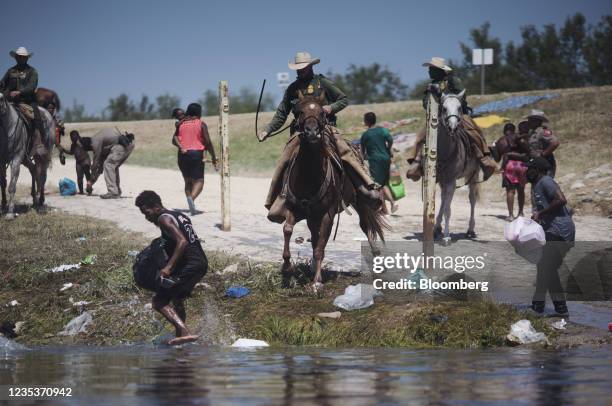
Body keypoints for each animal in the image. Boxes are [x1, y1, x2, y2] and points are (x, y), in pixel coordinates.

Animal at [280, 91, 384, 290]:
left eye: (322, 112)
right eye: (299, 111)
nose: (312, 132)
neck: (308, 177)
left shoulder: (328, 214)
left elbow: (321, 247)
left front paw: (317, 282)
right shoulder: (293, 207)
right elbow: (288, 229)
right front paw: (287, 268)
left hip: (360, 201)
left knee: (366, 225)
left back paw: (377, 257)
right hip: (312, 216)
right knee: (314, 235)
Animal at [432, 90, 480, 246]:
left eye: (459, 108)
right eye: (444, 108)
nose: (452, 127)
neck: (445, 151)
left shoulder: (451, 181)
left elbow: (448, 209)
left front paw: (447, 237)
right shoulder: (440, 179)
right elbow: (440, 203)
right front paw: (437, 229)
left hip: (474, 175)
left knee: (472, 199)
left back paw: (470, 230)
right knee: (443, 198)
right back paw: (437, 228)